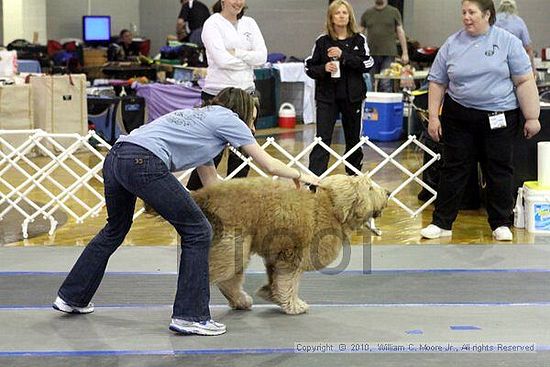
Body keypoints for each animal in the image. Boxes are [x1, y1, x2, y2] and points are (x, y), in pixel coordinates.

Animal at [192, 175, 390, 316]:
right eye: (370, 187)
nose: (388, 192)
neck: (328, 207)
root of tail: (203, 196)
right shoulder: (292, 254)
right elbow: (289, 282)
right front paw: (294, 305)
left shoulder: (278, 255)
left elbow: (278, 280)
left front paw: (271, 294)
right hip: (232, 248)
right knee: (216, 275)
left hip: (235, 250)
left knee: (229, 280)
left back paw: (241, 301)